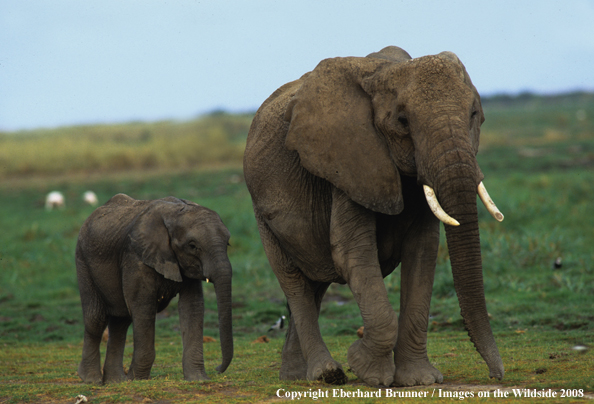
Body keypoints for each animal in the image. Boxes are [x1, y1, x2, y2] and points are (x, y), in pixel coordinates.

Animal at [74, 196, 231, 386]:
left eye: (228, 243)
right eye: (192, 246)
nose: (218, 369)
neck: (175, 212)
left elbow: (192, 306)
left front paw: (197, 379)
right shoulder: (136, 258)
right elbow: (143, 307)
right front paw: (138, 380)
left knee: (121, 321)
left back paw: (116, 382)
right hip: (83, 261)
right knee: (96, 318)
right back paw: (91, 379)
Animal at [243, 45, 502, 386]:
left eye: (474, 114)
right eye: (403, 121)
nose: (496, 374)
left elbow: (422, 253)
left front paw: (419, 380)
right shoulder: (349, 162)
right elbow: (353, 252)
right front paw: (368, 371)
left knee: (315, 285)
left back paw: (296, 375)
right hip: (262, 214)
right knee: (294, 283)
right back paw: (326, 374)